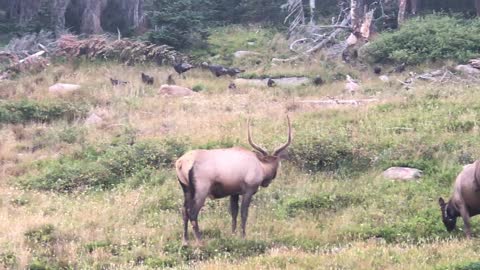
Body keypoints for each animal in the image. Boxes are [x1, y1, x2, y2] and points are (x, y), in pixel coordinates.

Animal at [174, 116, 290, 245]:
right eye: (277, 163)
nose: (268, 182)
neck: (261, 166)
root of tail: (181, 163)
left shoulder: (234, 193)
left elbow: (234, 213)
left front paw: (233, 234)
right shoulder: (248, 190)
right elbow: (244, 213)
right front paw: (243, 236)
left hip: (186, 189)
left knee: (184, 211)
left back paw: (185, 241)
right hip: (201, 190)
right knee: (193, 213)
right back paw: (200, 241)